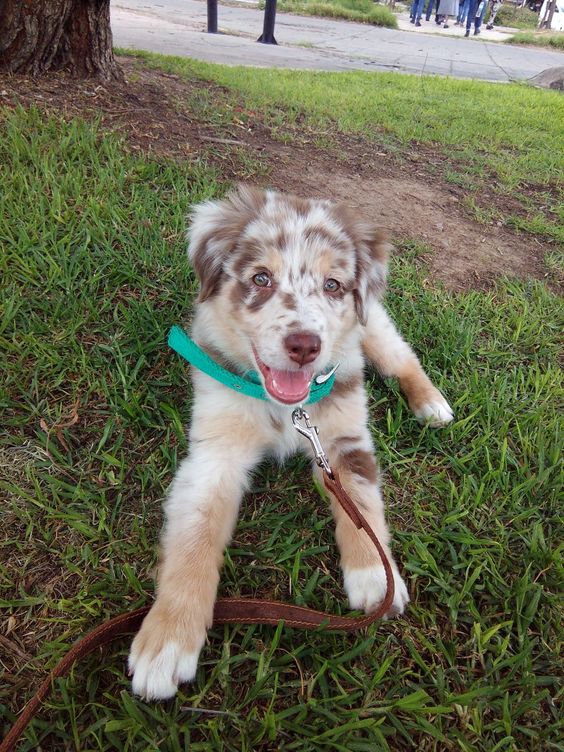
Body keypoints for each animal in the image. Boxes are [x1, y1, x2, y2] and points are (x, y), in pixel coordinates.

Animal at [129, 184, 454, 700]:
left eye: (333, 285)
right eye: (261, 278)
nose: (305, 346)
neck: (286, 409)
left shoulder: (343, 436)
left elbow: (362, 508)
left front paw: (375, 577)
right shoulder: (214, 452)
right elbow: (194, 538)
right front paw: (167, 641)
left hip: (375, 326)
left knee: (402, 357)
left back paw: (431, 403)